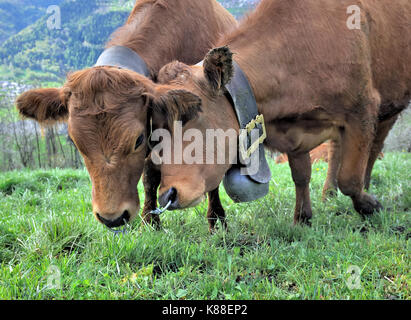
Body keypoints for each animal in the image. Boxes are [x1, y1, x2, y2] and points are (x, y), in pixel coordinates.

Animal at [15, 0, 238, 230]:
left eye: (138, 140)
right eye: (74, 142)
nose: (111, 218)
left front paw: (216, 220)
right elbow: (150, 175)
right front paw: (151, 221)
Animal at [149, 0, 411, 225]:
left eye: (195, 117)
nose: (167, 195)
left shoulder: (362, 109)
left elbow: (349, 178)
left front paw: (369, 205)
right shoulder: (295, 132)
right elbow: (301, 175)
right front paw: (302, 218)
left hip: (388, 106)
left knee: (373, 149)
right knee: (340, 149)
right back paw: (329, 193)